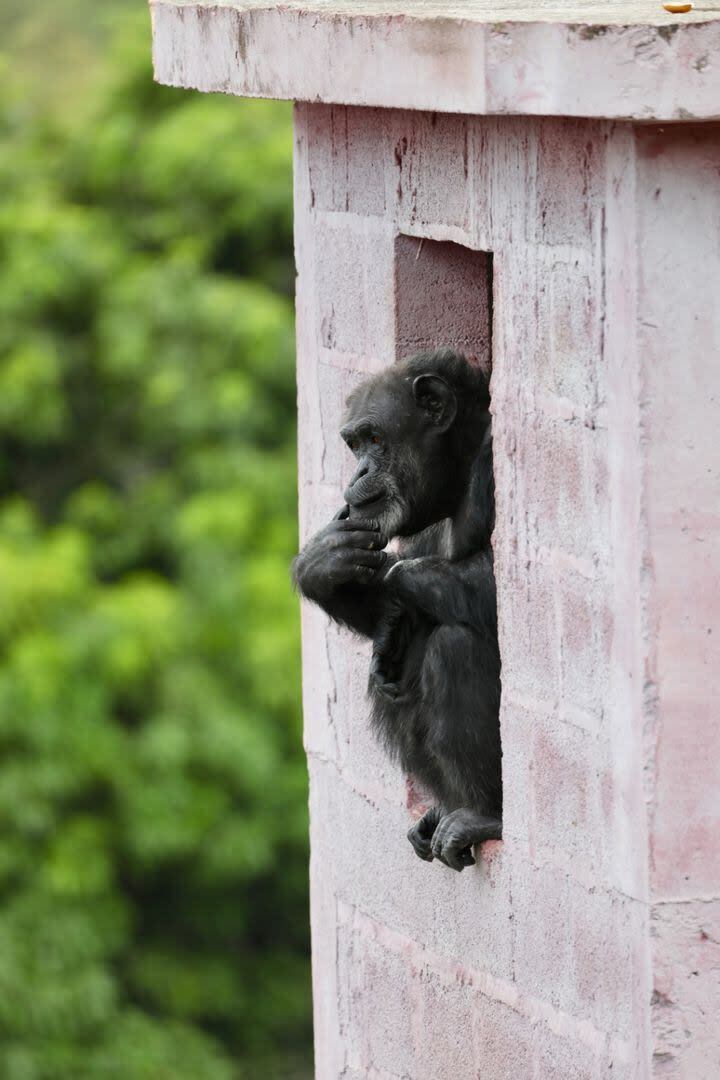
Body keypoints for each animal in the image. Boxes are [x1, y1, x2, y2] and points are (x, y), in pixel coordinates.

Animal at [293, 349, 500, 872]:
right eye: (354, 444)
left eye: (376, 439)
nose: (357, 474)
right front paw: (322, 566)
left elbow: (496, 583)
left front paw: (388, 577)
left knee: (453, 646)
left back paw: (481, 815)